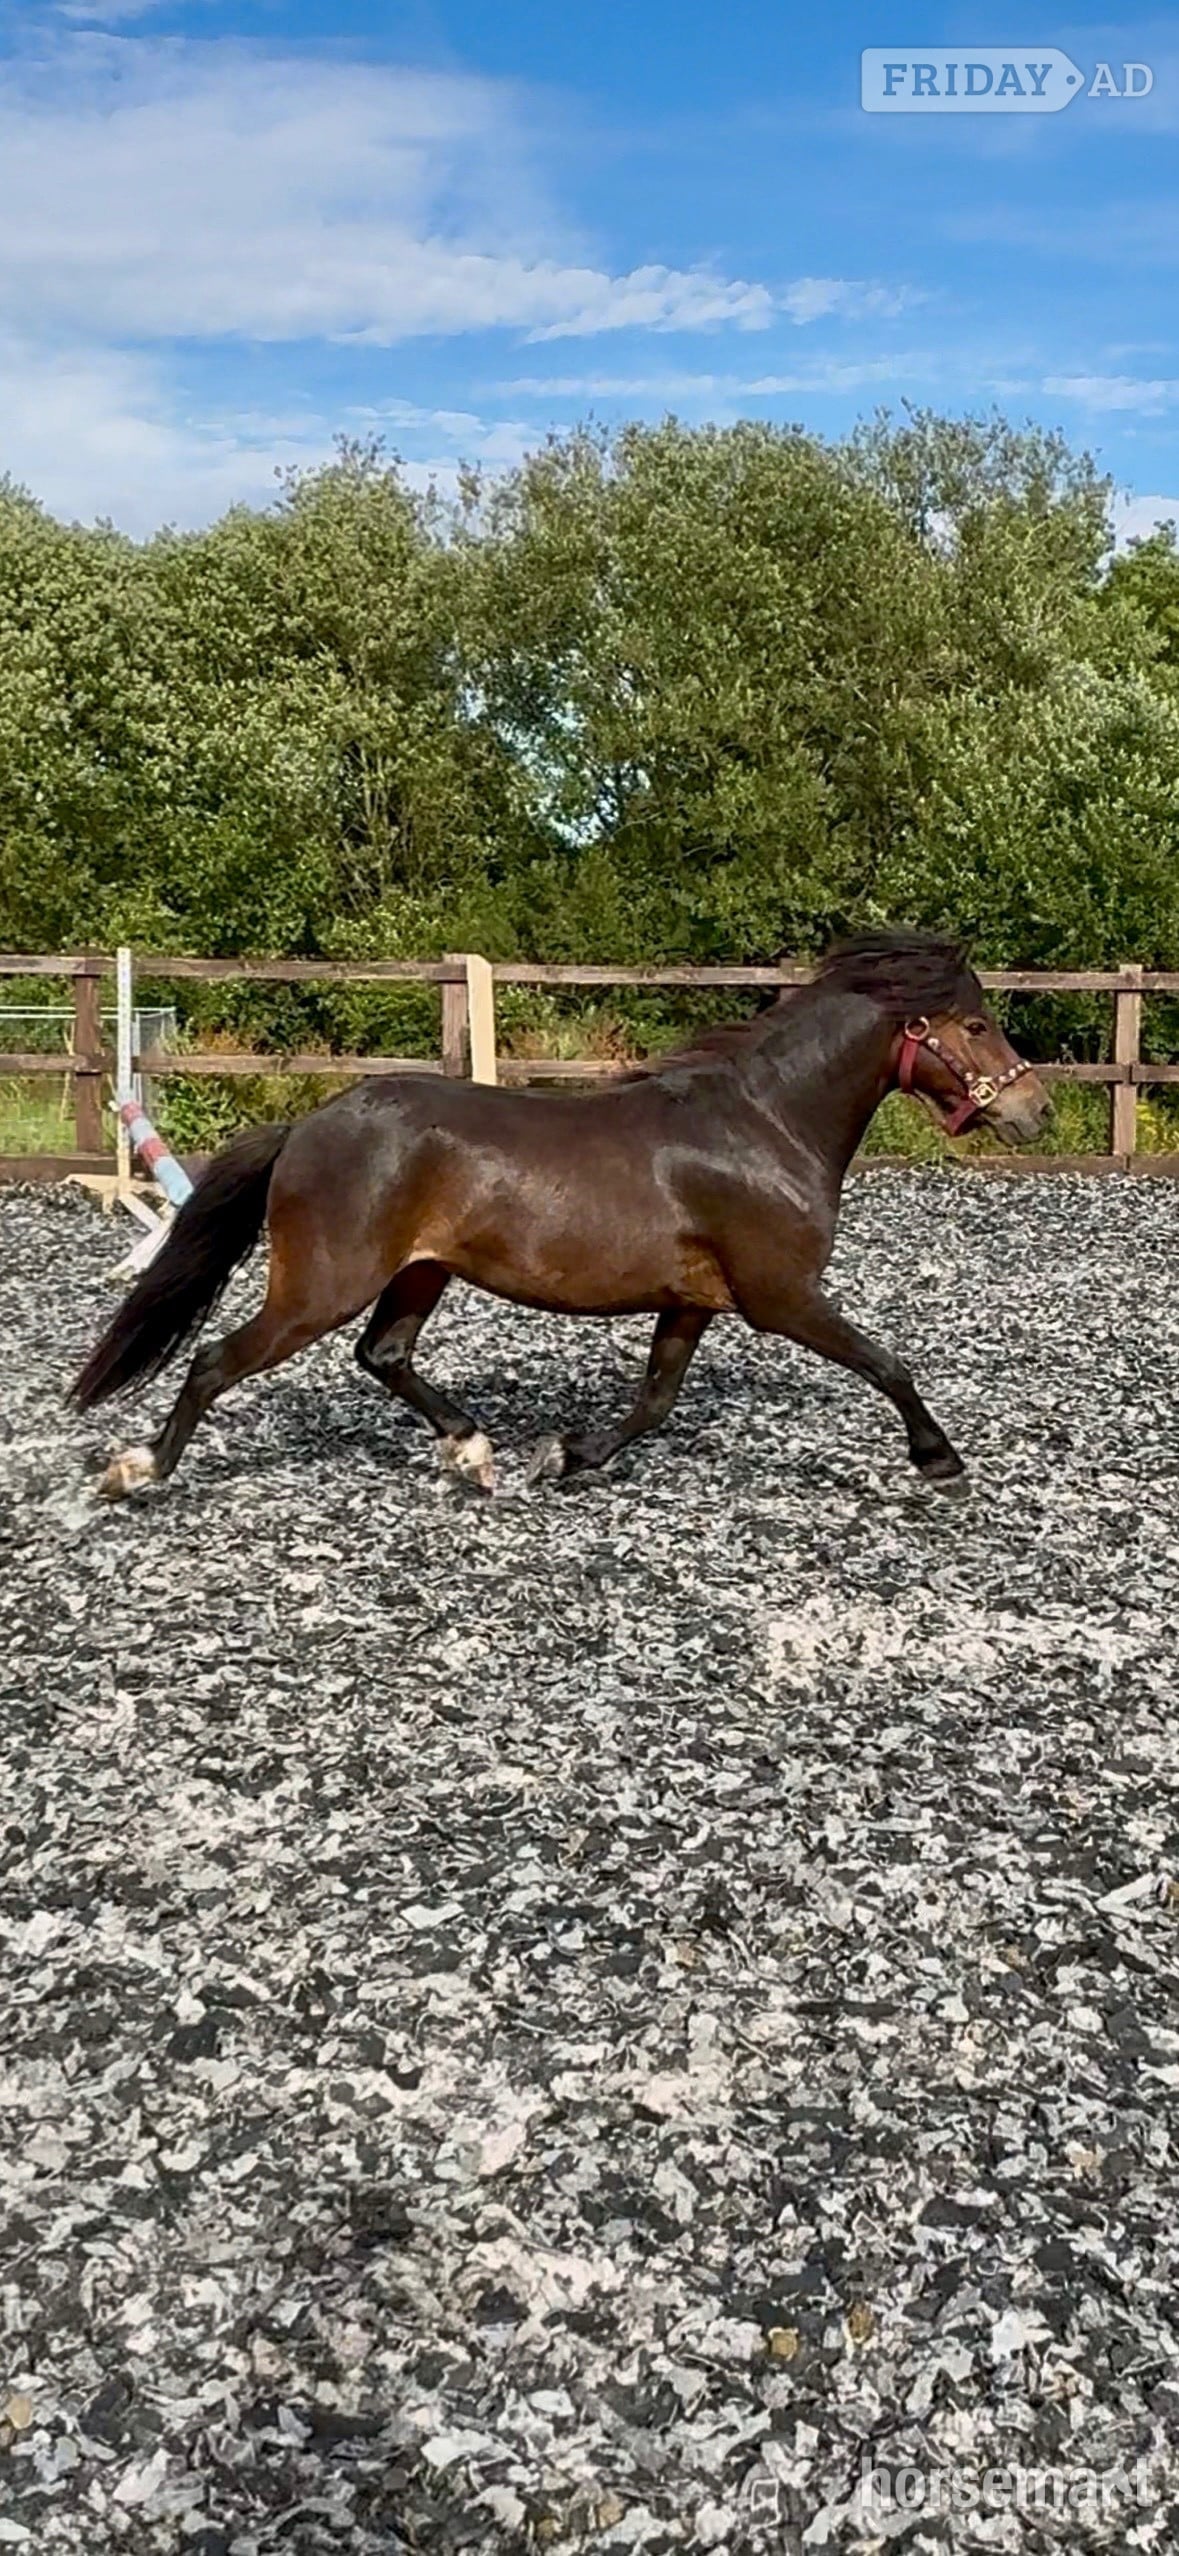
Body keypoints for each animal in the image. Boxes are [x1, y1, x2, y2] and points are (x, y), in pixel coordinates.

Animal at [71, 929, 1048, 1502]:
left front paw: (568, 1456)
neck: (766, 1125)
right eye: (974, 1024)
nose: (1033, 1111)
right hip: (322, 1286)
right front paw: (939, 1460)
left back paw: (473, 1453)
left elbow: (654, 1400)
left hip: (420, 1273)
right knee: (214, 1361)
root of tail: (310, 1123)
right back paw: (137, 1471)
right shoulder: (782, 1297)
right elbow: (887, 1364)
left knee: (382, 1355)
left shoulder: (692, 1301)